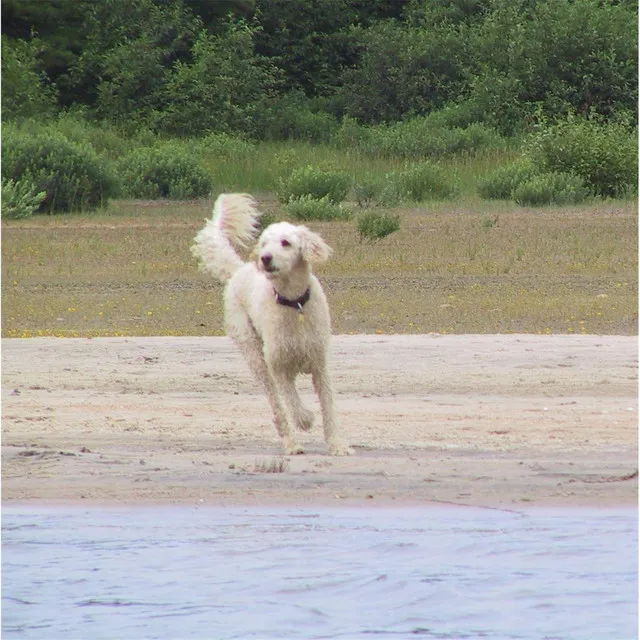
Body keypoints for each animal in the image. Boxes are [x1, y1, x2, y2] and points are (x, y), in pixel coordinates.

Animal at [191, 192, 350, 458]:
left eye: (285, 242)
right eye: (264, 243)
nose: (265, 258)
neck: (294, 304)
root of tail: (239, 270)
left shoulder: (319, 365)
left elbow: (329, 409)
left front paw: (337, 445)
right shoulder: (279, 367)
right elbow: (292, 401)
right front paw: (305, 419)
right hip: (256, 357)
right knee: (278, 407)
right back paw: (292, 443)